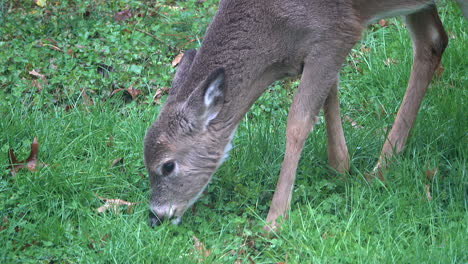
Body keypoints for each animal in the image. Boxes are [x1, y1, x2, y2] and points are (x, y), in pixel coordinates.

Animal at [144, 0, 466, 229]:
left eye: (167, 166)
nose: (156, 216)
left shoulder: (337, 30)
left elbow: (297, 121)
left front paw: (275, 219)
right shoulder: (321, 47)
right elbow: (329, 93)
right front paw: (340, 166)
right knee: (433, 40)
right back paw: (384, 163)